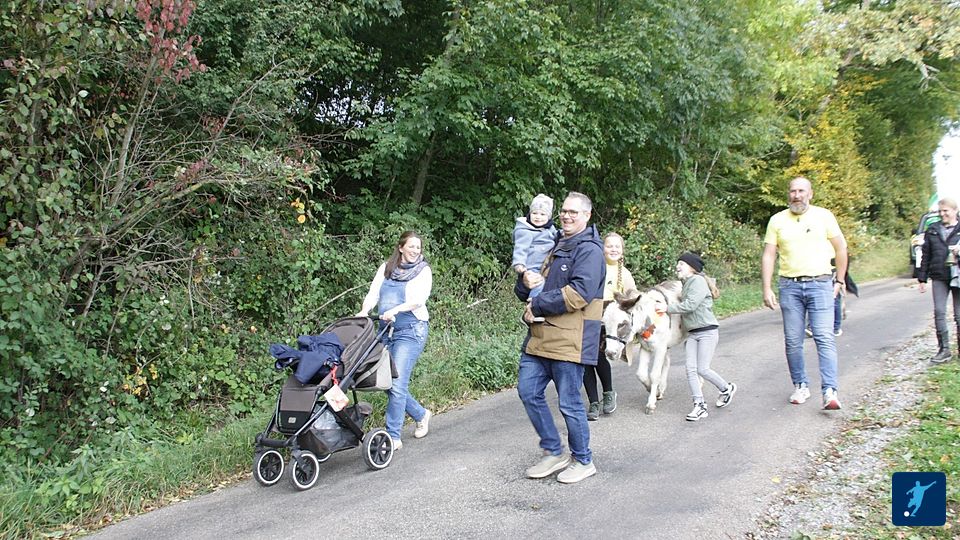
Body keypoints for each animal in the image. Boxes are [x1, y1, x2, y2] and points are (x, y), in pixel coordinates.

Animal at [602, 281, 687, 414]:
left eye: (621, 324)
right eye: (604, 323)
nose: (610, 353)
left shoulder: (659, 348)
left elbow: (654, 374)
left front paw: (650, 404)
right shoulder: (646, 347)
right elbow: (641, 374)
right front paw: (654, 391)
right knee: (667, 362)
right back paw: (661, 389)